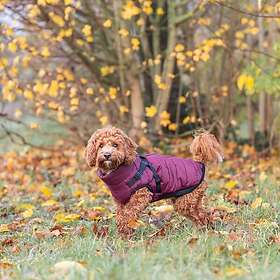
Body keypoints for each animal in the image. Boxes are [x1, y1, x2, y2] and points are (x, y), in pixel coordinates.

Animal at [85, 127, 223, 238]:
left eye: (115, 145)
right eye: (100, 146)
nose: (107, 155)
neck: (120, 170)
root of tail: (198, 162)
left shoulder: (140, 196)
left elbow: (128, 215)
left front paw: (125, 233)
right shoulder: (121, 202)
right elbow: (120, 217)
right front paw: (123, 234)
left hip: (186, 201)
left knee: (201, 215)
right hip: (189, 200)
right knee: (202, 214)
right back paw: (204, 230)